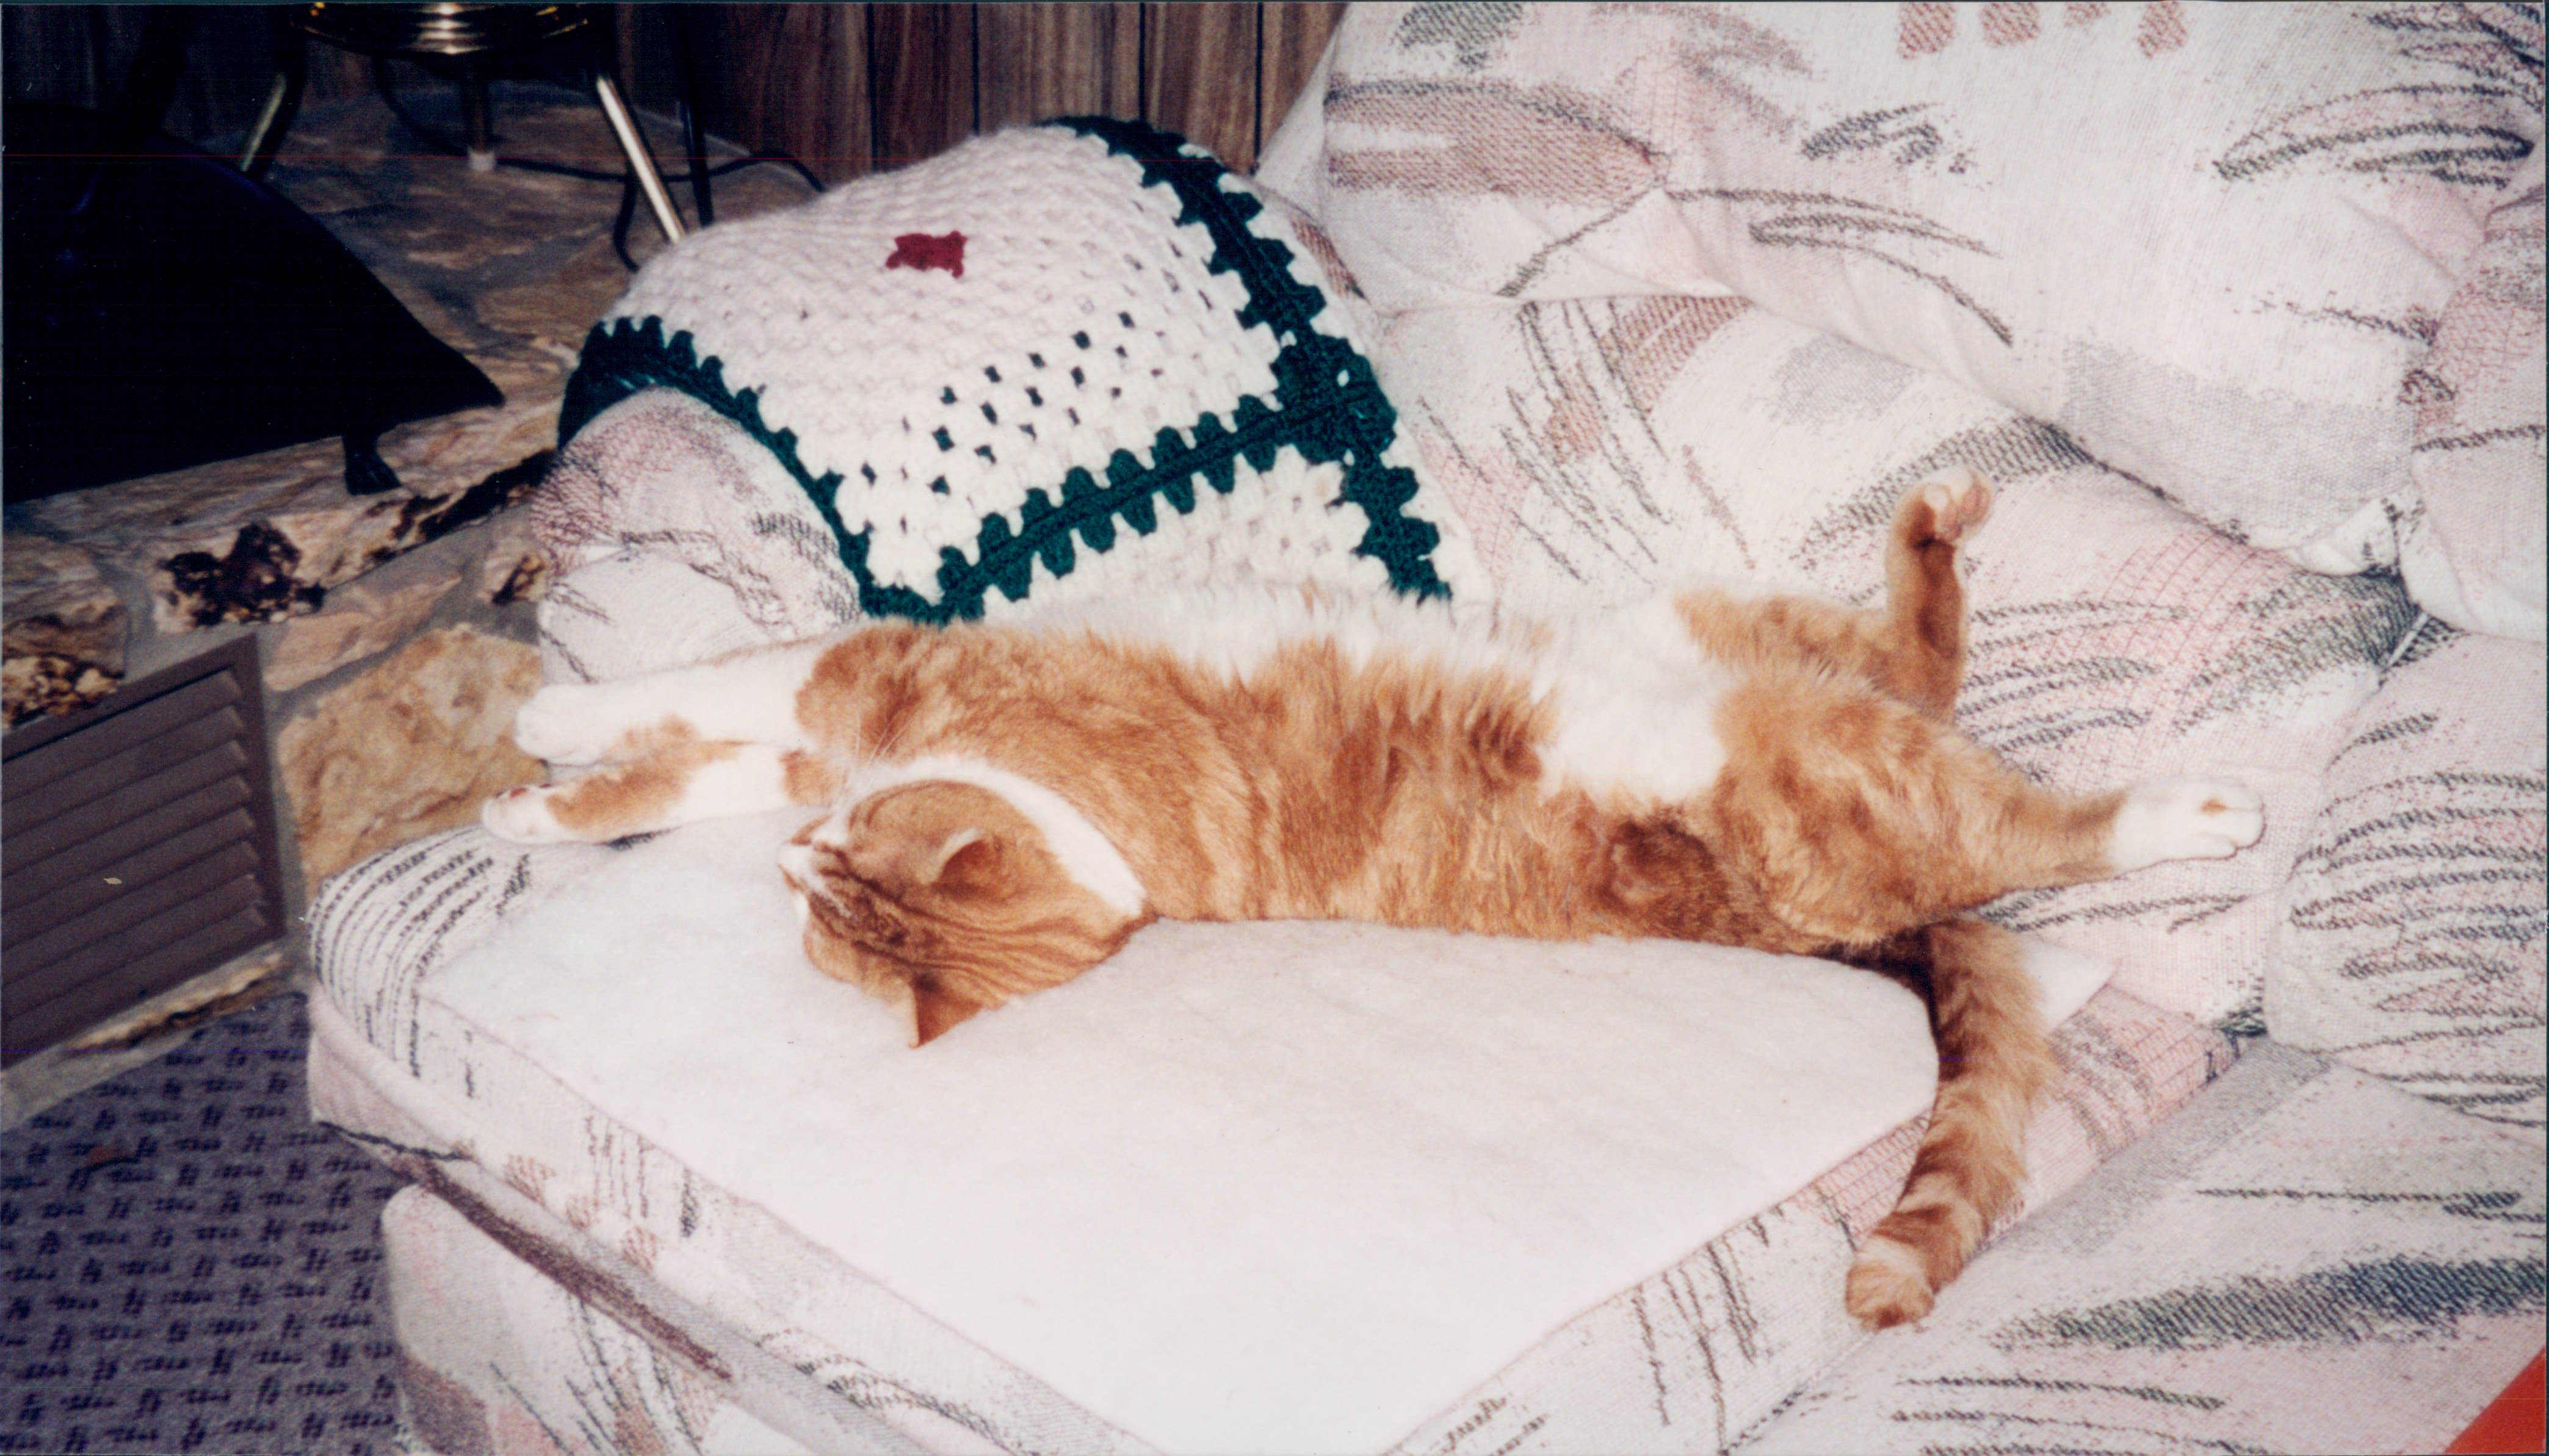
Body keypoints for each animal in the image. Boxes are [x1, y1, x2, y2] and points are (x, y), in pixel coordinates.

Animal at [481, 467, 2263, 1327]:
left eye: (837, 879)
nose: (793, 866)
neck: (1098, 847)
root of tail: (1820, 923)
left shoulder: (865, 675)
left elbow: (703, 695)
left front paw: (539, 727)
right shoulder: (837, 724)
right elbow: (692, 762)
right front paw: (542, 794)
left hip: (1805, 706)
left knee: (2026, 807)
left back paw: (2198, 796)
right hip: (1799, 685)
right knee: (1937, 683)